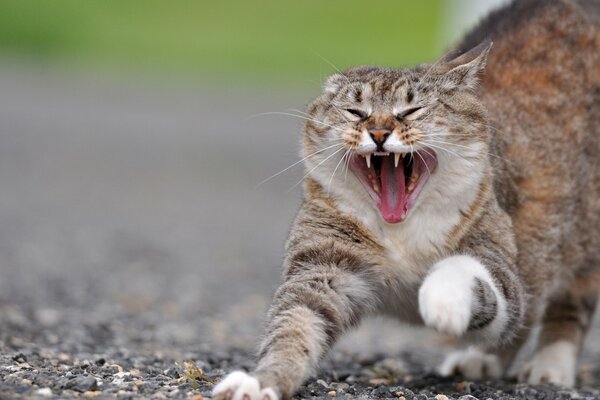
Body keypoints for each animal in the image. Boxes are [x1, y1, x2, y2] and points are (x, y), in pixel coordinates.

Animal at [213, 1, 596, 398]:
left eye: (411, 111)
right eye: (356, 112)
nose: (379, 131)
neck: (400, 232)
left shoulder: (500, 260)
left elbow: (473, 275)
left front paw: (440, 300)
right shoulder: (324, 265)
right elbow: (296, 323)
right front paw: (261, 381)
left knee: (566, 307)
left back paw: (551, 365)